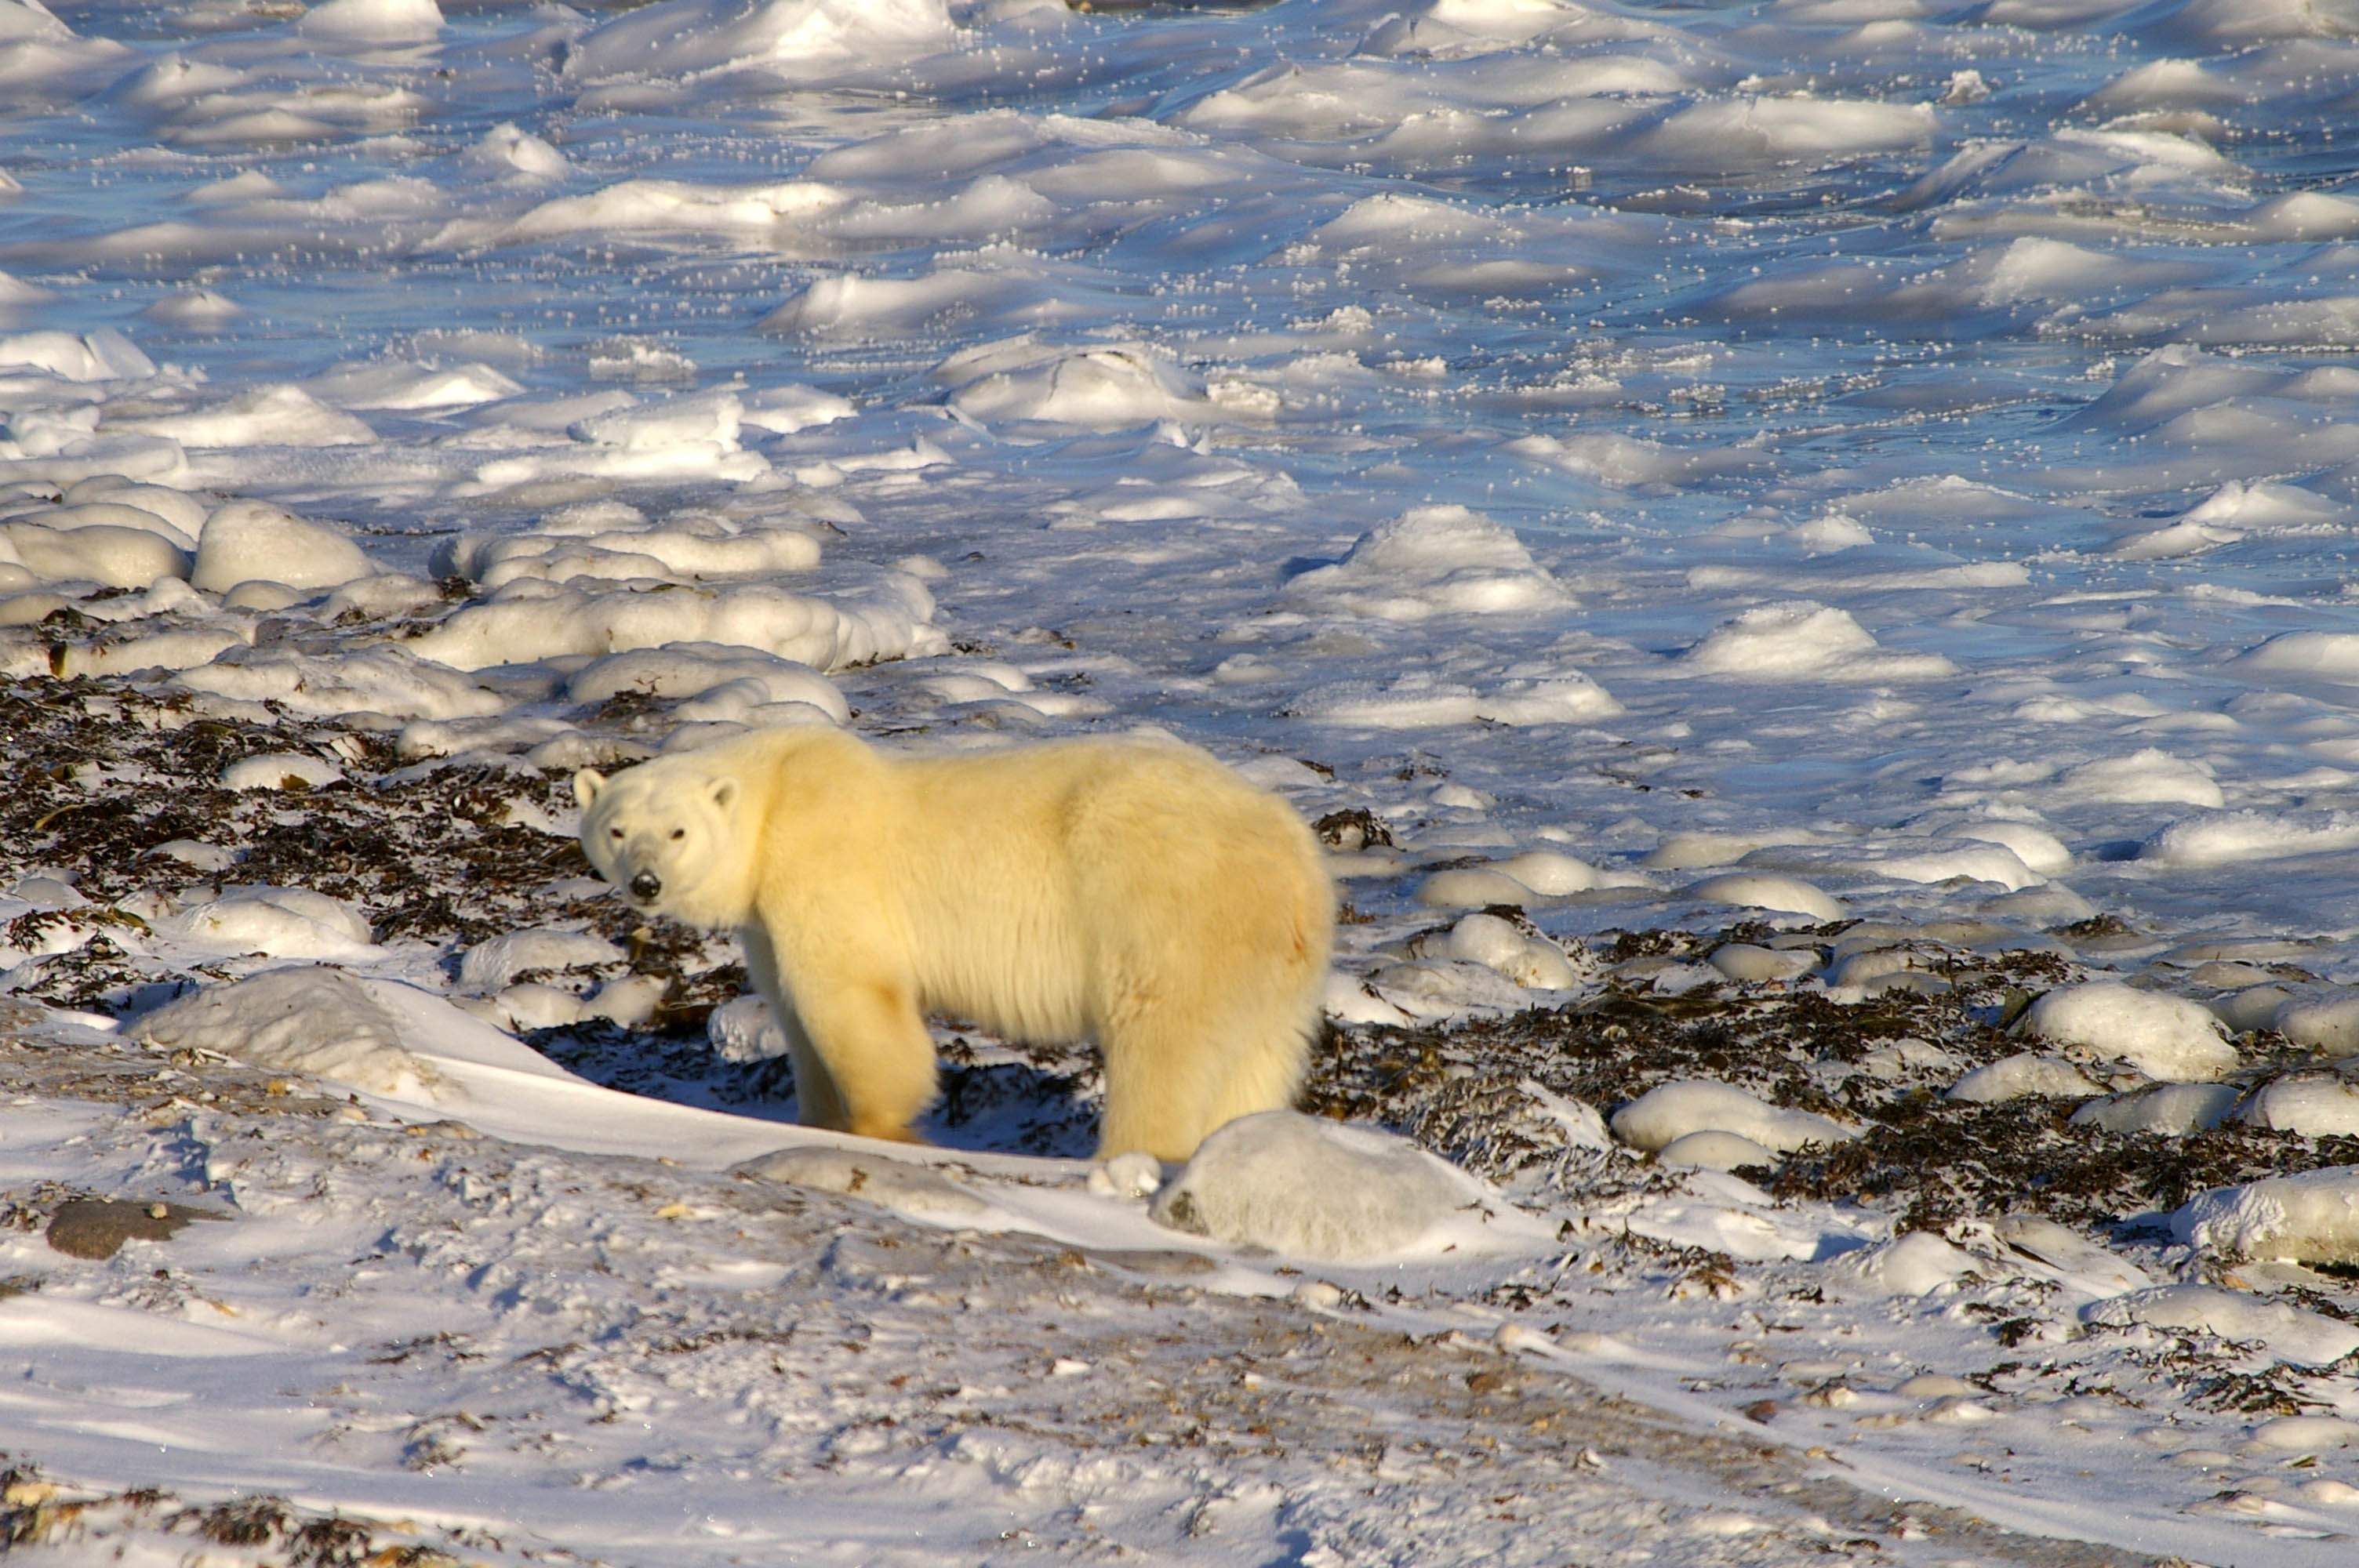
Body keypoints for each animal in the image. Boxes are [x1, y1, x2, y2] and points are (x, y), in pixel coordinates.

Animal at [572, 727, 1333, 1161]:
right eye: (617, 828)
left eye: (678, 832)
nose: (645, 882)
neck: (775, 795)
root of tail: (1295, 858)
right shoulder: (764, 917)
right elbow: (791, 1008)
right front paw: (814, 1119)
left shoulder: (823, 861)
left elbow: (848, 992)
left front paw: (886, 1127)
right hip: (1273, 962)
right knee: (1255, 1061)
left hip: (1165, 909)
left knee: (1164, 1044)